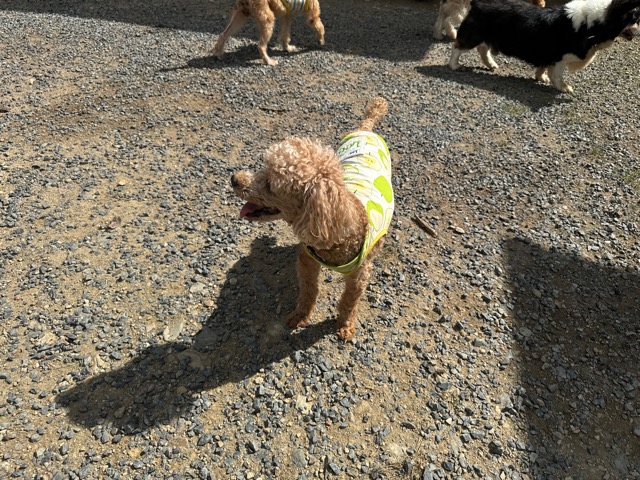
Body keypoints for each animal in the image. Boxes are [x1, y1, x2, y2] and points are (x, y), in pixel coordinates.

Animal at [231, 98, 393, 340]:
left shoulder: (359, 276)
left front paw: (345, 325)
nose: (234, 179)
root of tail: (366, 128)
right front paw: (300, 315)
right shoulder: (306, 260)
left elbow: (349, 301)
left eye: (270, 184)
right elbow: (309, 290)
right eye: (263, 167)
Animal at [448, 0, 640, 92]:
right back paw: (454, 66)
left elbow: (544, 67)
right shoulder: (562, 57)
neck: (593, 24)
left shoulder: (549, 55)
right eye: (635, 19)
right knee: (458, 47)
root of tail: (477, 3)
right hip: (473, 35)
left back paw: (491, 65)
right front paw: (563, 88)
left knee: (483, 49)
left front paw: (541, 78)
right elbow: (557, 75)